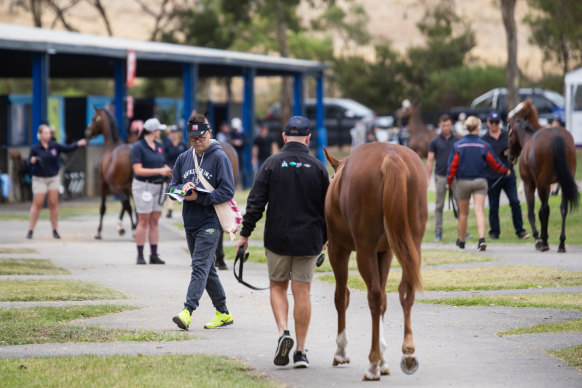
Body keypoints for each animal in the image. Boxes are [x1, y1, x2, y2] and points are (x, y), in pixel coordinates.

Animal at [85, 107, 135, 239]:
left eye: (93, 118)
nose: (87, 132)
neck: (112, 145)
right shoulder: (127, 188)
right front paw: (120, 226)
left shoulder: (104, 184)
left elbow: (103, 207)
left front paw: (98, 232)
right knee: (131, 204)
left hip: (114, 186)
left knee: (126, 203)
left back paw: (134, 230)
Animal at [324, 142, 428, 378]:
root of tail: (391, 157)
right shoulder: (385, 252)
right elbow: (385, 301)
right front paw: (383, 358)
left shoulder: (338, 250)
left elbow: (341, 296)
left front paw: (342, 351)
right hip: (412, 245)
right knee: (404, 292)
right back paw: (407, 351)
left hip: (364, 250)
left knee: (374, 295)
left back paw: (372, 364)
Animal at [506, 118, 580, 252]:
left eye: (509, 135)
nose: (510, 158)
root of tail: (555, 136)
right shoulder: (550, 185)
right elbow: (544, 211)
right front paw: (544, 238)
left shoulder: (529, 185)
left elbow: (533, 212)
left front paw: (539, 238)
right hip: (563, 183)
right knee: (563, 209)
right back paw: (561, 243)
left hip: (541, 184)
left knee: (545, 209)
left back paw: (544, 241)